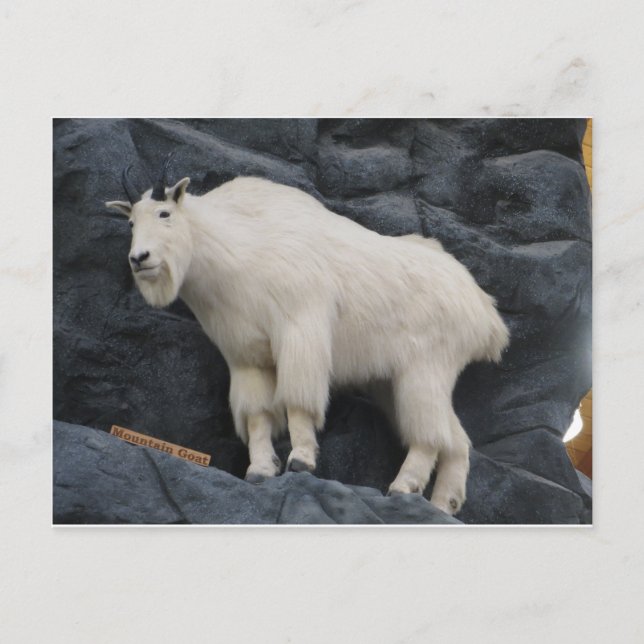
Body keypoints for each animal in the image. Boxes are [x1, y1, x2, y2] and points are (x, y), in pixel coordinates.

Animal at [106, 159, 509, 515]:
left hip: (427, 364)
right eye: (131, 221)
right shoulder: (246, 354)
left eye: (164, 214)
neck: (237, 248)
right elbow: (257, 413)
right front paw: (259, 470)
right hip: (395, 379)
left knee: (429, 433)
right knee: (455, 438)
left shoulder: (300, 327)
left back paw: (403, 486)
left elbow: (298, 399)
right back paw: (443, 505)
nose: (140, 258)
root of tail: (485, 313)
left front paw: (300, 461)